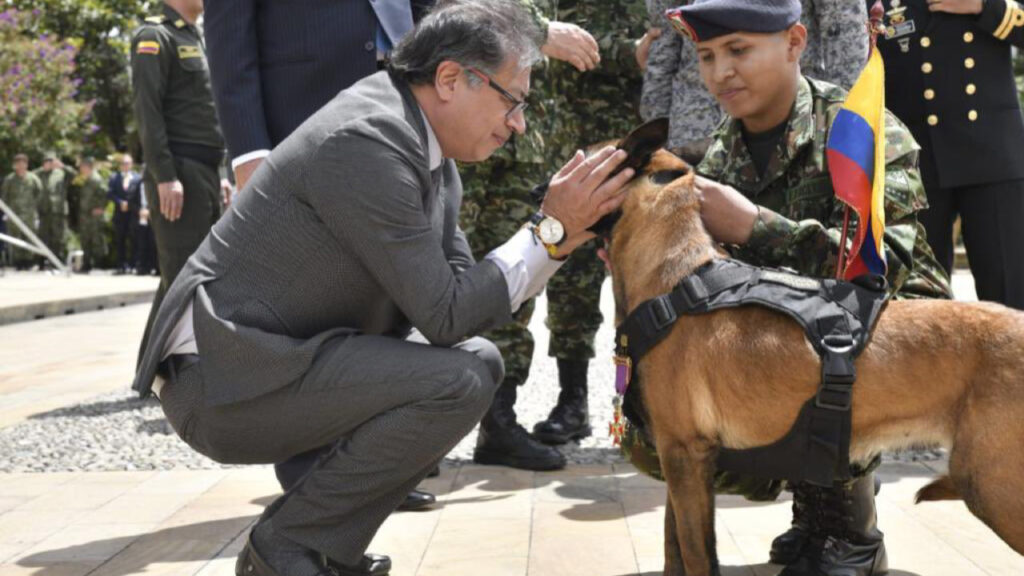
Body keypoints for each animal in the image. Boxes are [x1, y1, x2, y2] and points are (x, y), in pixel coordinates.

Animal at [602, 120, 1019, 573]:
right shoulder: (678, 461)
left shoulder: (684, 455)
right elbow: (673, 546)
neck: (675, 276)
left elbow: (696, 555)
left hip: (992, 484)